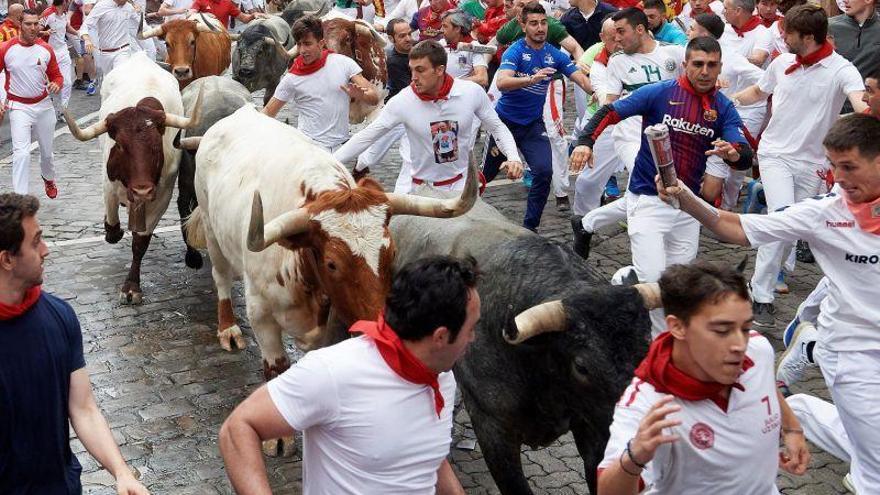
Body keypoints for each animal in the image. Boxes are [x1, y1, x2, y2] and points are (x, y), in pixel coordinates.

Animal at [65, 52, 203, 304]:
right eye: (119, 145)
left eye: (157, 146)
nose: (141, 191)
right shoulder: (108, 186)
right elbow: (112, 225)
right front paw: (115, 231)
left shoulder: (161, 196)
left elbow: (140, 242)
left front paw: (131, 286)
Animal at [182, 105, 478, 458]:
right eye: (332, 263)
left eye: (391, 252)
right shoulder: (261, 313)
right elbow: (276, 366)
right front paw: (279, 438)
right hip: (213, 232)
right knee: (222, 278)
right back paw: (227, 328)